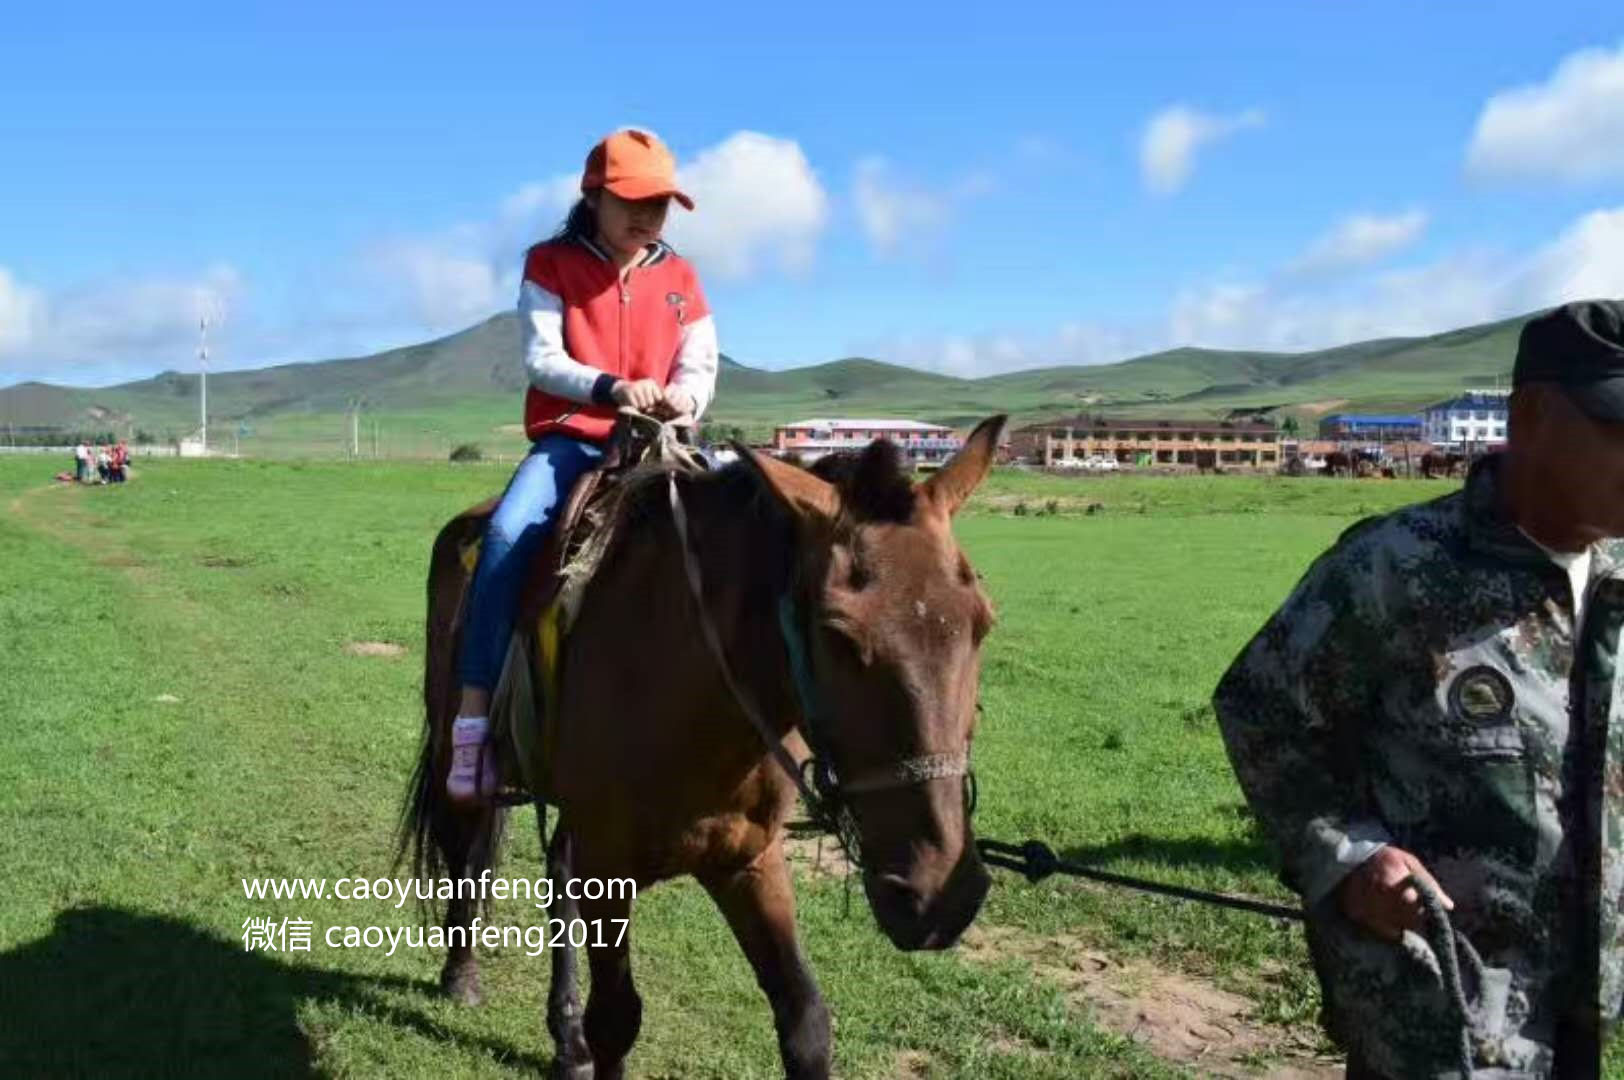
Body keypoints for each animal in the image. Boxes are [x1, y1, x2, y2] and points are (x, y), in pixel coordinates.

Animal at [397, 414, 1000, 1078]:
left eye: (981, 622)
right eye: (838, 634)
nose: (938, 894)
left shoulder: (749, 861)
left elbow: (805, 1018)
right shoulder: (610, 869)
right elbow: (617, 1020)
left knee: (554, 869)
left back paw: (565, 1038)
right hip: (459, 752)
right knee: (464, 850)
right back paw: (462, 974)